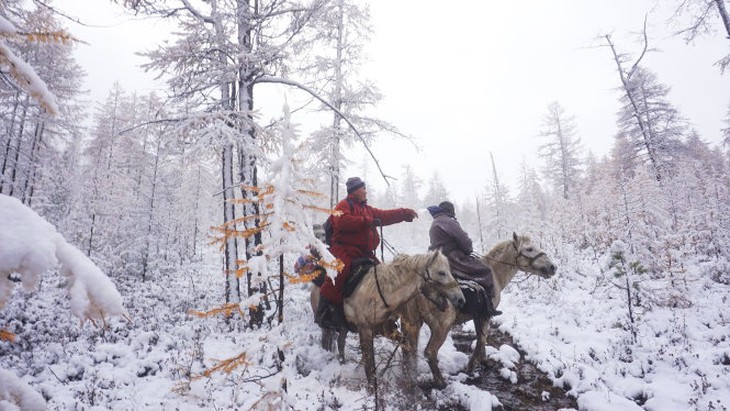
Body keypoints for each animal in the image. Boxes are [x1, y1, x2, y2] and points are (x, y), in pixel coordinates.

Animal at [310, 251, 464, 390]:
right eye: (441, 272)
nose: (460, 300)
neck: (383, 292)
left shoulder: (385, 329)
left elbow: (405, 346)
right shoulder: (365, 330)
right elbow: (370, 364)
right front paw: (372, 388)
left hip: (344, 326)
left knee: (340, 342)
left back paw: (342, 362)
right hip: (327, 326)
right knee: (327, 340)